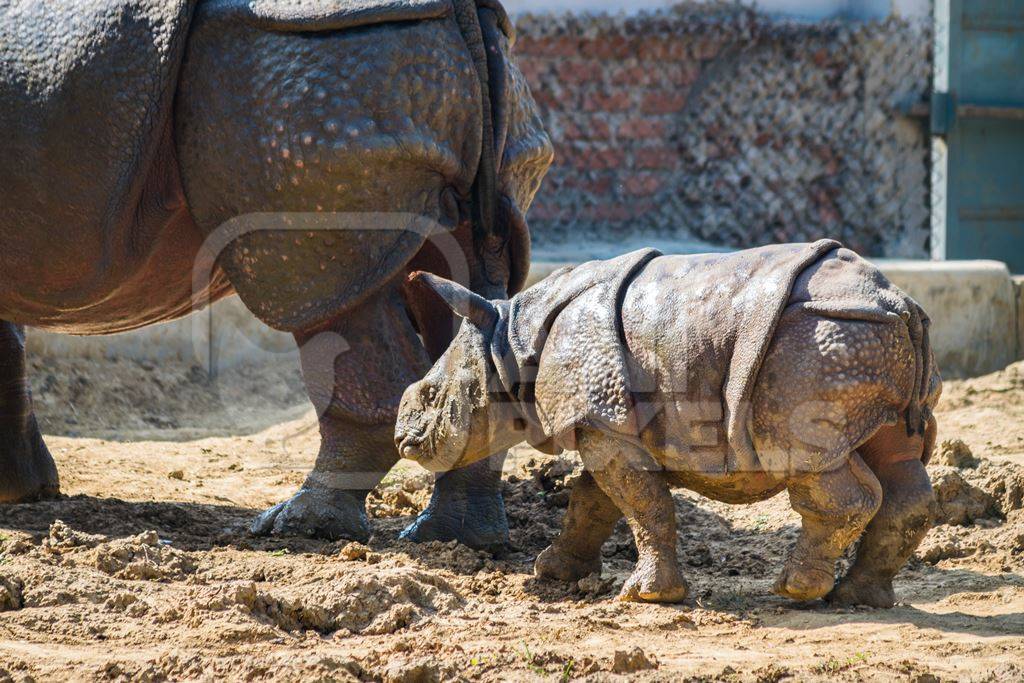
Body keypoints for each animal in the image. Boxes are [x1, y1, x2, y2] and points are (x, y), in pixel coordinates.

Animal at [0, 0, 552, 548]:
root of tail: (465, 9)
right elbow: (10, 345)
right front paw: (26, 490)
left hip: (304, 76)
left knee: (323, 297)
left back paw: (300, 525)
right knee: (468, 290)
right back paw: (453, 538)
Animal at [395, 241, 937, 610]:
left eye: (433, 396)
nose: (403, 439)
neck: (509, 340)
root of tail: (901, 306)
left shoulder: (602, 416)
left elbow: (639, 502)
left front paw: (648, 597)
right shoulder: (606, 421)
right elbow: (593, 500)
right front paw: (553, 571)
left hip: (822, 340)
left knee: (807, 460)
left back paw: (795, 590)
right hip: (865, 340)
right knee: (899, 462)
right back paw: (858, 598)